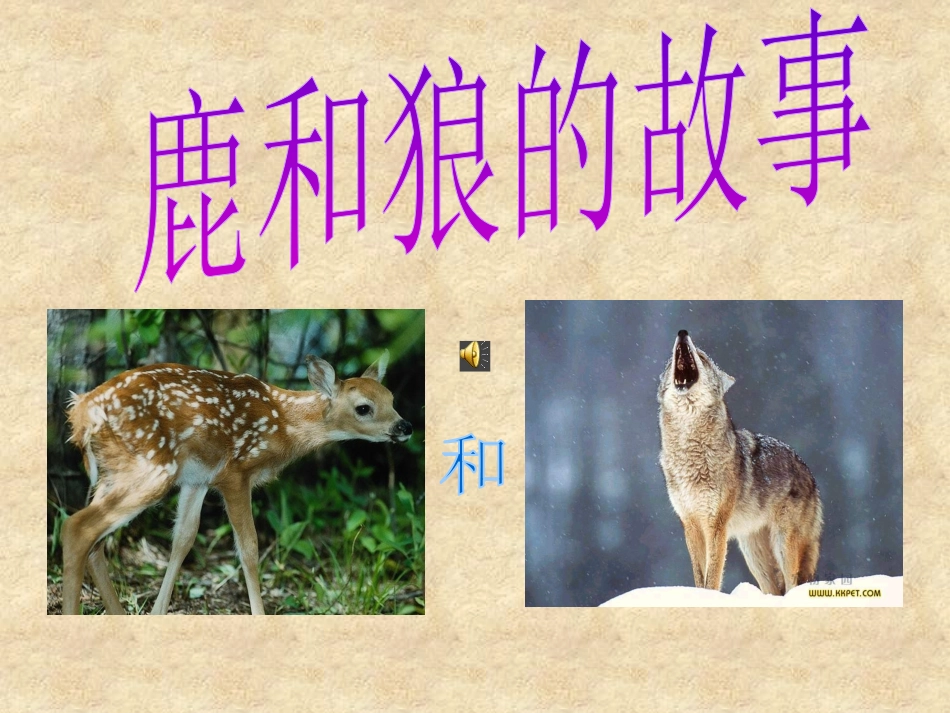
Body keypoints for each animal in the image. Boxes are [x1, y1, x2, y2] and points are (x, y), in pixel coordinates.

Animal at [61, 350, 412, 615]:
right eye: (363, 408)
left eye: (391, 398)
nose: (405, 427)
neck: (283, 423)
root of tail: (81, 414)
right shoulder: (235, 473)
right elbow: (249, 548)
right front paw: (259, 614)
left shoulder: (198, 478)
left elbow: (183, 539)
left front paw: (158, 612)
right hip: (151, 468)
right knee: (78, 527)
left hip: (114, 472)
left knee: (95, 542)